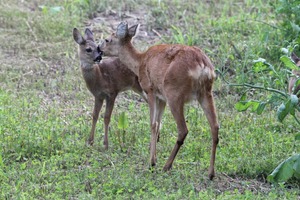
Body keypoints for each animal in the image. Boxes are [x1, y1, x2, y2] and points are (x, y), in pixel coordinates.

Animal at [99, 21, 219, 180]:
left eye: (107, 40)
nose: (98, 49)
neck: (140, 61)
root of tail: (202, 67)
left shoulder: (150, 91)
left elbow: (153, 124)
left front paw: (152, 162)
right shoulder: (161, 98)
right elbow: (159, 124)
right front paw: (154, 157)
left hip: (175, 94)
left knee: (183, 130)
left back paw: (167, 166)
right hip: (205, 93)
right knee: (215, 127)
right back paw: (211, 173)